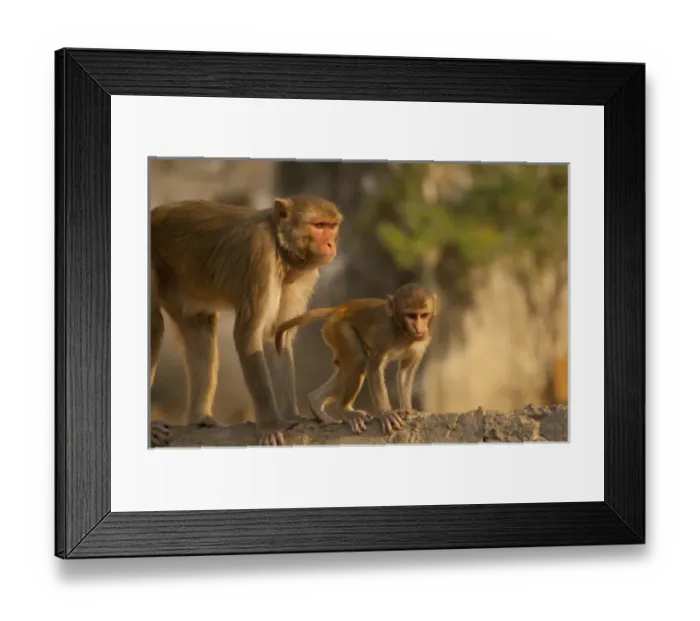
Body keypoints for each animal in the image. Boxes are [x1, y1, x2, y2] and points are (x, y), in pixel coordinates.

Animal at [148, 195, 343, 447]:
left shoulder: (303, 276)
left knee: (201, 328)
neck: (281, 249)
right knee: (154, 326)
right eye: (319, 225)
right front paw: (271, 425)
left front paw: (292, 414)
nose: (330, 244)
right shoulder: (260, 255)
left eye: (332, 226)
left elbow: (279, 337)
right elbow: (248, 334)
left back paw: (199, 418)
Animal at [274, 283, 437, 435]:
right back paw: (345, 410)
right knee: (358, 359)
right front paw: (386, 414)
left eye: (423, 315)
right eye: (411, 316)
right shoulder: (384, 334)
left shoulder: (422, 342)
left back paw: (315, 401)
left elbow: (405, 372)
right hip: (338, 329)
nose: (418, 328)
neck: (402, 331)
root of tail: (338, 309)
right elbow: (374, 367)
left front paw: (408, 409)